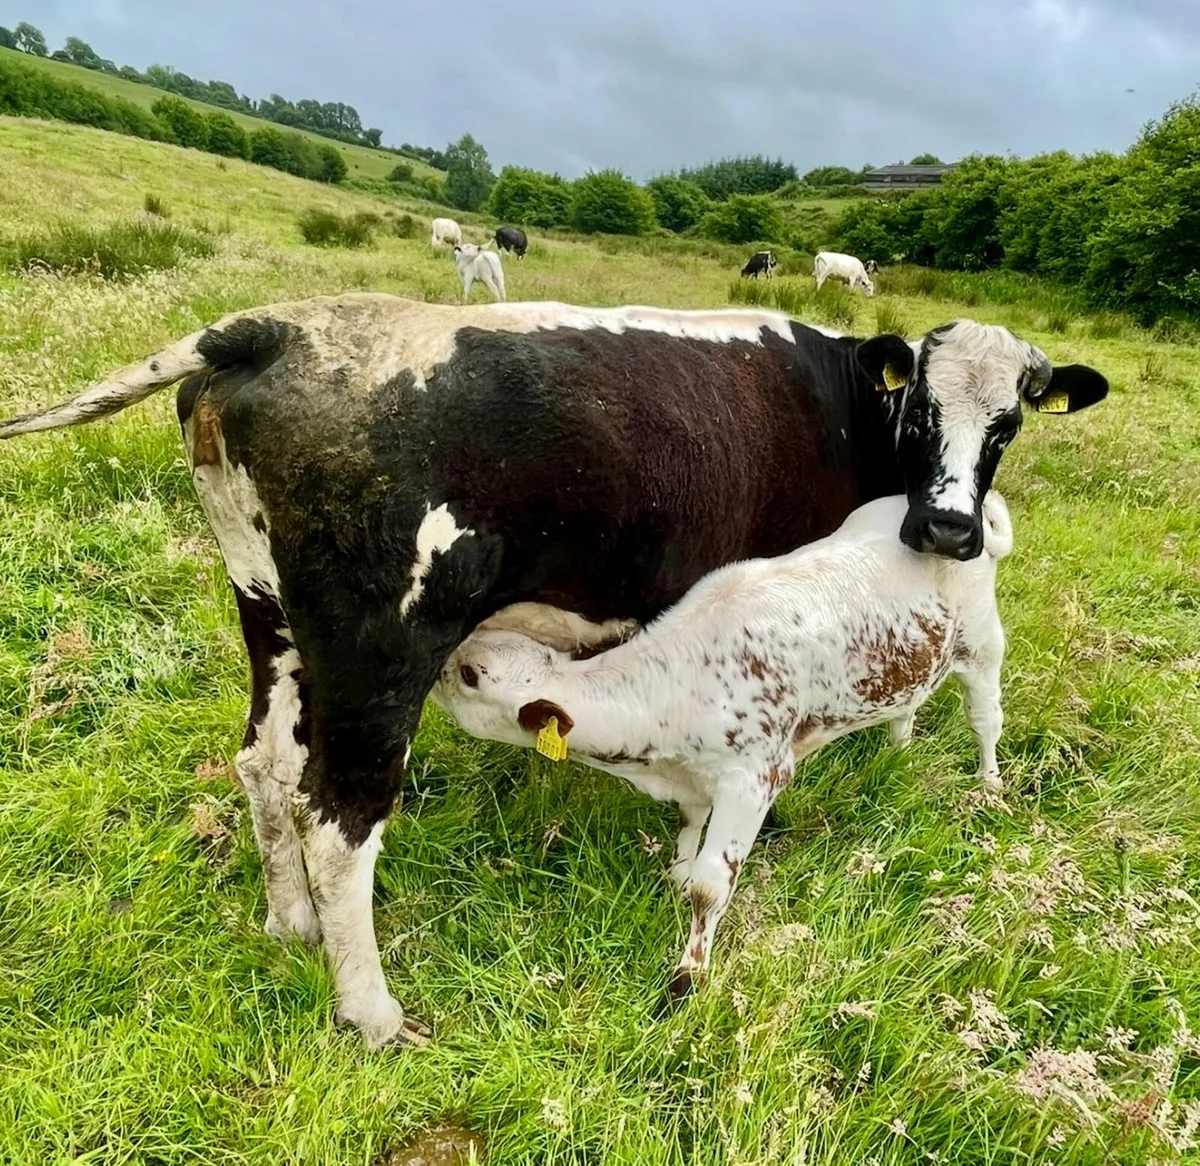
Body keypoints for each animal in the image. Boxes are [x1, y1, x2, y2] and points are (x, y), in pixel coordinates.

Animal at [434, 490, 1014, 998]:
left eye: (469, 674)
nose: (434, 668)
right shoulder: (693, 776)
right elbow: (688, 825)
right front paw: (676, 871)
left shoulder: (755, 778)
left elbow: (711, 885)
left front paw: (690, 975)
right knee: (907, 707)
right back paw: (898, 755)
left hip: (983, 644)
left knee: (985, 718)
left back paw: (989, 787)